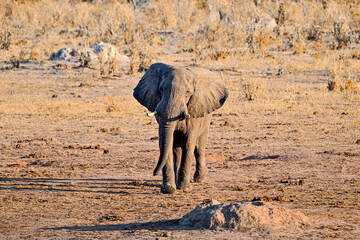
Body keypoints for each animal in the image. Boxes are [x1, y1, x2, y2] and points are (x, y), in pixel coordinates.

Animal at [132, 62, 228, 194]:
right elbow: (165, 142)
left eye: (187, 92)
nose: (154, 173)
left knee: (198, 148)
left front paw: (185, 189)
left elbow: (188, 143)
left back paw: (198, 179)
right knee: (176, 149)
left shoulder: (194, 110)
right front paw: (168, 188)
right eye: (161, 90)